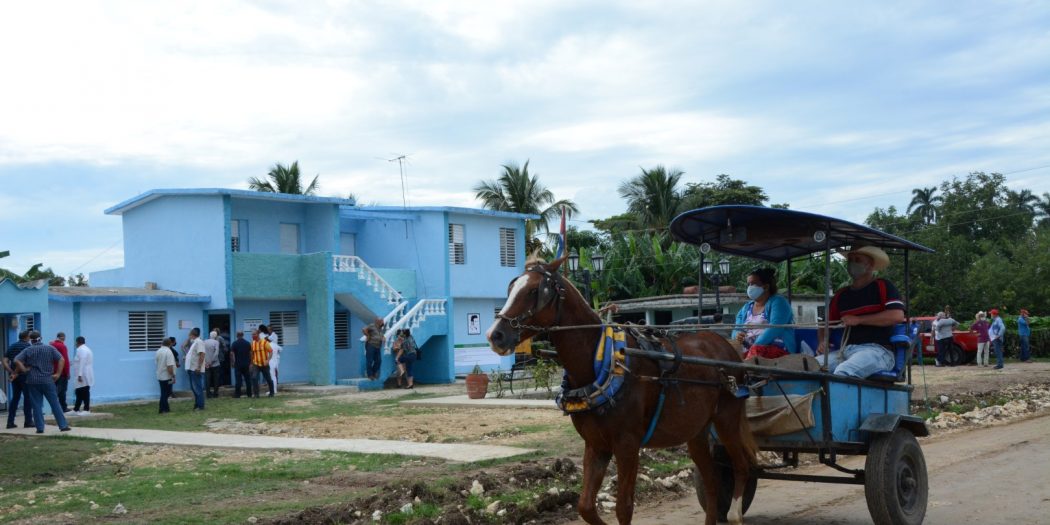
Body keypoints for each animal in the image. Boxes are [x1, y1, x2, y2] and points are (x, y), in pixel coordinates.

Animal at [482, 258, 755, 525]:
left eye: (533, 291)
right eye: (510, 289)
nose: (495, 335)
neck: (603, 363)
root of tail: (725, 345)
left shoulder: (627, 445)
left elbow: (624, 508)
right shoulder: (596, 445)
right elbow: (585, 507)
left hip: (727, 419)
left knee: (742, 465)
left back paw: (735, 513)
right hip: (696, 430)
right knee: (712, 481)